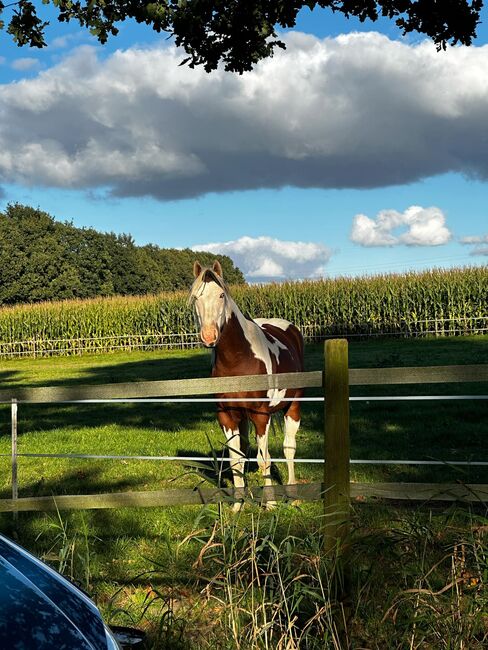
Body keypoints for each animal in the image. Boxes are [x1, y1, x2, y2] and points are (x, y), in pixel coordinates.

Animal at [189, 258, 304, 506]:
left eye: (221, 295)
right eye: (195, 298)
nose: (209, 336)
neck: (239, 360)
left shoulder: (261, 416)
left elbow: (266, 459)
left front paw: (270, 504)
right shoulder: (226, 416)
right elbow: (236, 460)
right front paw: (237, 505)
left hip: (293, 407)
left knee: (289, 448)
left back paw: (293, 494)